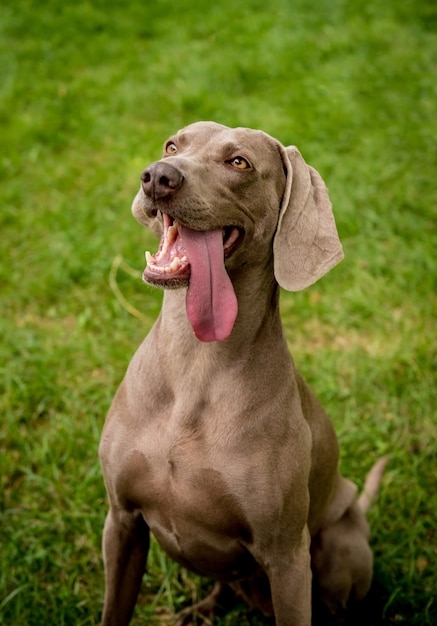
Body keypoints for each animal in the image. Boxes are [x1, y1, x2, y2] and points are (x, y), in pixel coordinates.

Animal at [99, 119, 384, 620]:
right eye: (172, 145)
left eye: (239, 162)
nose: (157, 176)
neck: (196, 362)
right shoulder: (121, 521)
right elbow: (114, 608)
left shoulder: (287, 557)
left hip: (338, 546)